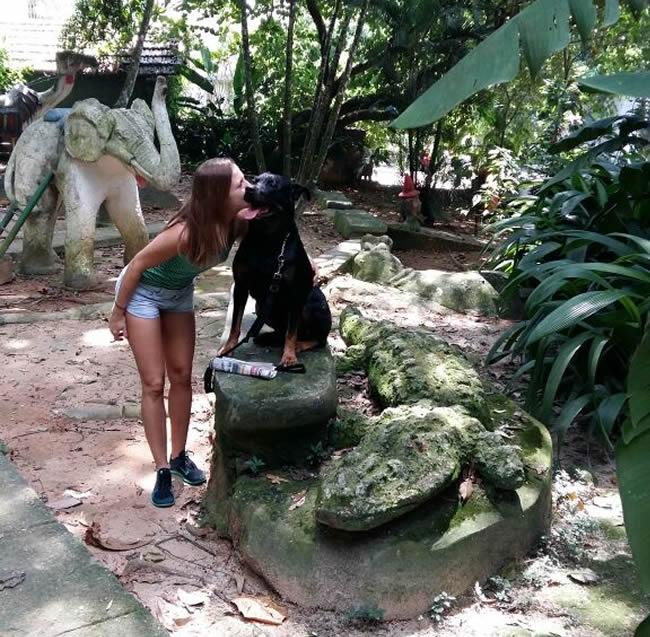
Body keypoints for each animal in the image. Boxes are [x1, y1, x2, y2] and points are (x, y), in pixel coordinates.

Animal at [219, 174, 330, 366]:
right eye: (255, 180)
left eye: (274, 184)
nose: (249, 190)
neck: (266, 240)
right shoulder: (241, 286)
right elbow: (235, 323)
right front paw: (229, 347)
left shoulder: (295, 294)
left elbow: (291, 332)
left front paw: (289, 356)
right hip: (262, 306)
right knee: (282, 330)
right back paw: (268, 338)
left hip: (310, 304)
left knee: (317, 338)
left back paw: (299, 345)